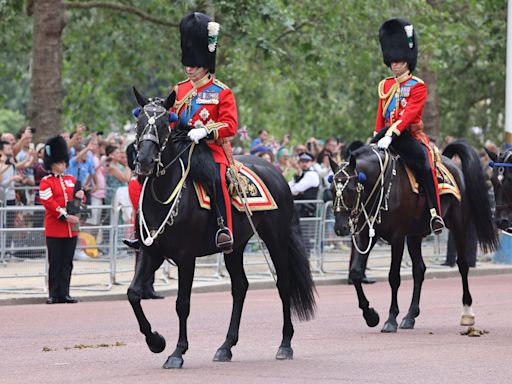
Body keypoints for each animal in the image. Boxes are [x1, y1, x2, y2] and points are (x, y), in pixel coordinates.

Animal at [126, 88, 314, 368]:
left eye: (164, 124)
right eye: (139, 123)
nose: (145, 162)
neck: (163, 195)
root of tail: (276, 172)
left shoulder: (185, 257)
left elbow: (182, 303)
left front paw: (177, 352)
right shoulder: (152, 252)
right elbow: (134, 293)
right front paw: (156, 341)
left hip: (276, 238)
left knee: (284, 283)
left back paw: (285, 344)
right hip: (235, 246)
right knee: (240, 286)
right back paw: (226, 346)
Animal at [330, 141, 498, 332]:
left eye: (351, 190)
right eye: (331, 189)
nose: (340, 228)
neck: (382, 185)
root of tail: (449, 162)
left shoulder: (397, 237)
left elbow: (393, 277)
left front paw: (391, 319)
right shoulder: (368, 235)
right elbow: (356, 273)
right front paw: (370, 315)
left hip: (458, 225)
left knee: (462, 265)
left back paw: (467, 313)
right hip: (414, 236)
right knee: (419, 270)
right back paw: (410, 316)